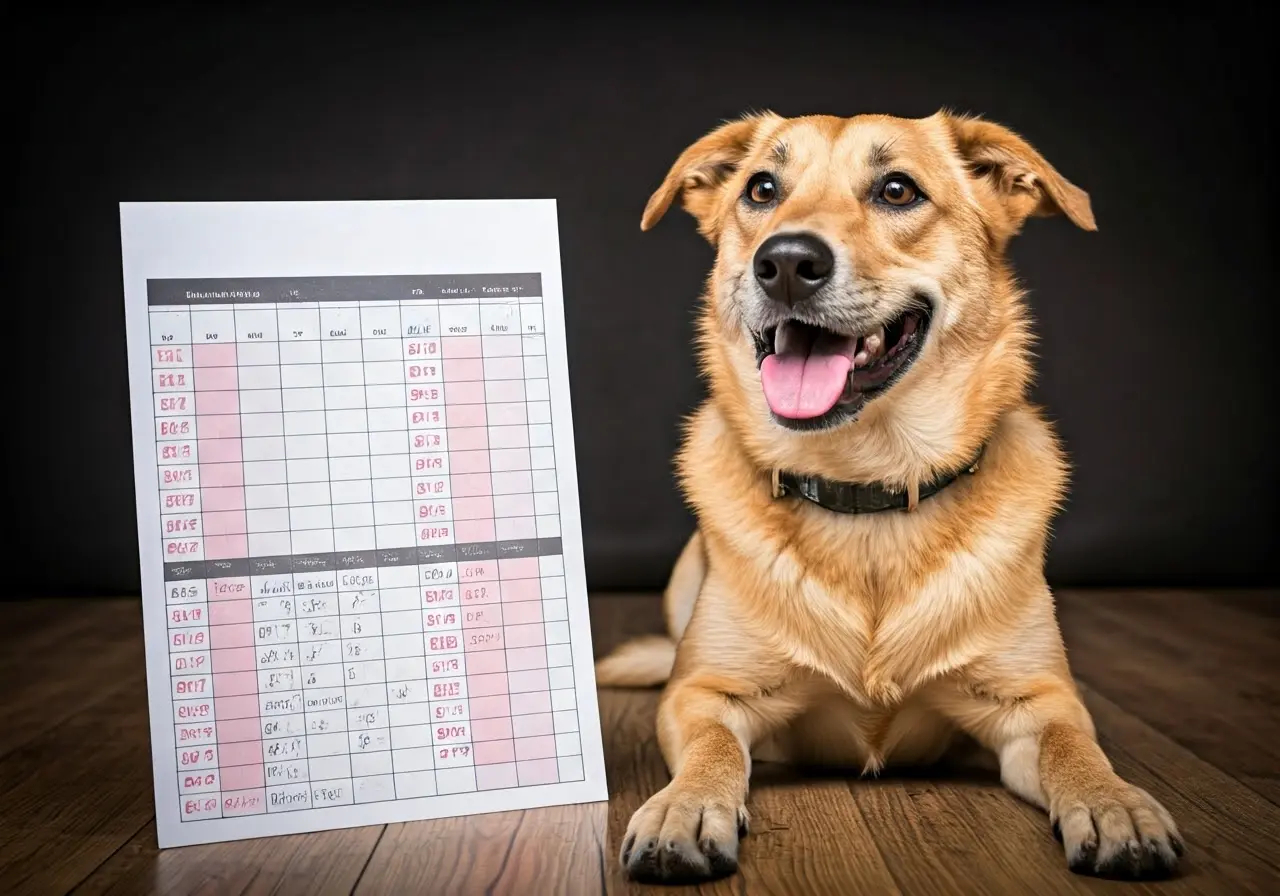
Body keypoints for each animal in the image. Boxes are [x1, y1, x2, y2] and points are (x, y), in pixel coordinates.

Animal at [593, 110, 1182, 880]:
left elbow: (1074, 747)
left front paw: (1116, 801)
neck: (864, 488)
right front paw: (684, 806)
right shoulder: (701, 694)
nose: (785, 262)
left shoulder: (1043, 702)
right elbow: (712, 746)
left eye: (897, 189)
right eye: (762, 189)